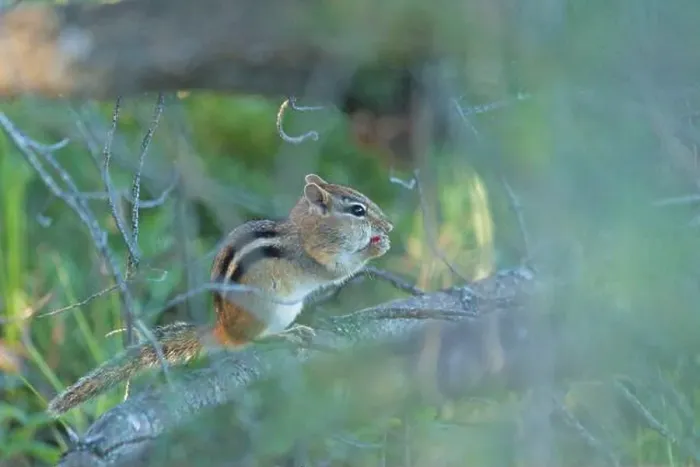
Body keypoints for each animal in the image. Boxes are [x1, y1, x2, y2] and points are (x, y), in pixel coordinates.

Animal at [47, 173, 393, 416]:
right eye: (358, 210)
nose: (388, 225)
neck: (306, 230)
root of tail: (223, 329)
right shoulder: (314, 258)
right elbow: (337, 272)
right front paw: (375, 248)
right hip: (266, 308)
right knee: (249, 342)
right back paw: (282, 336)